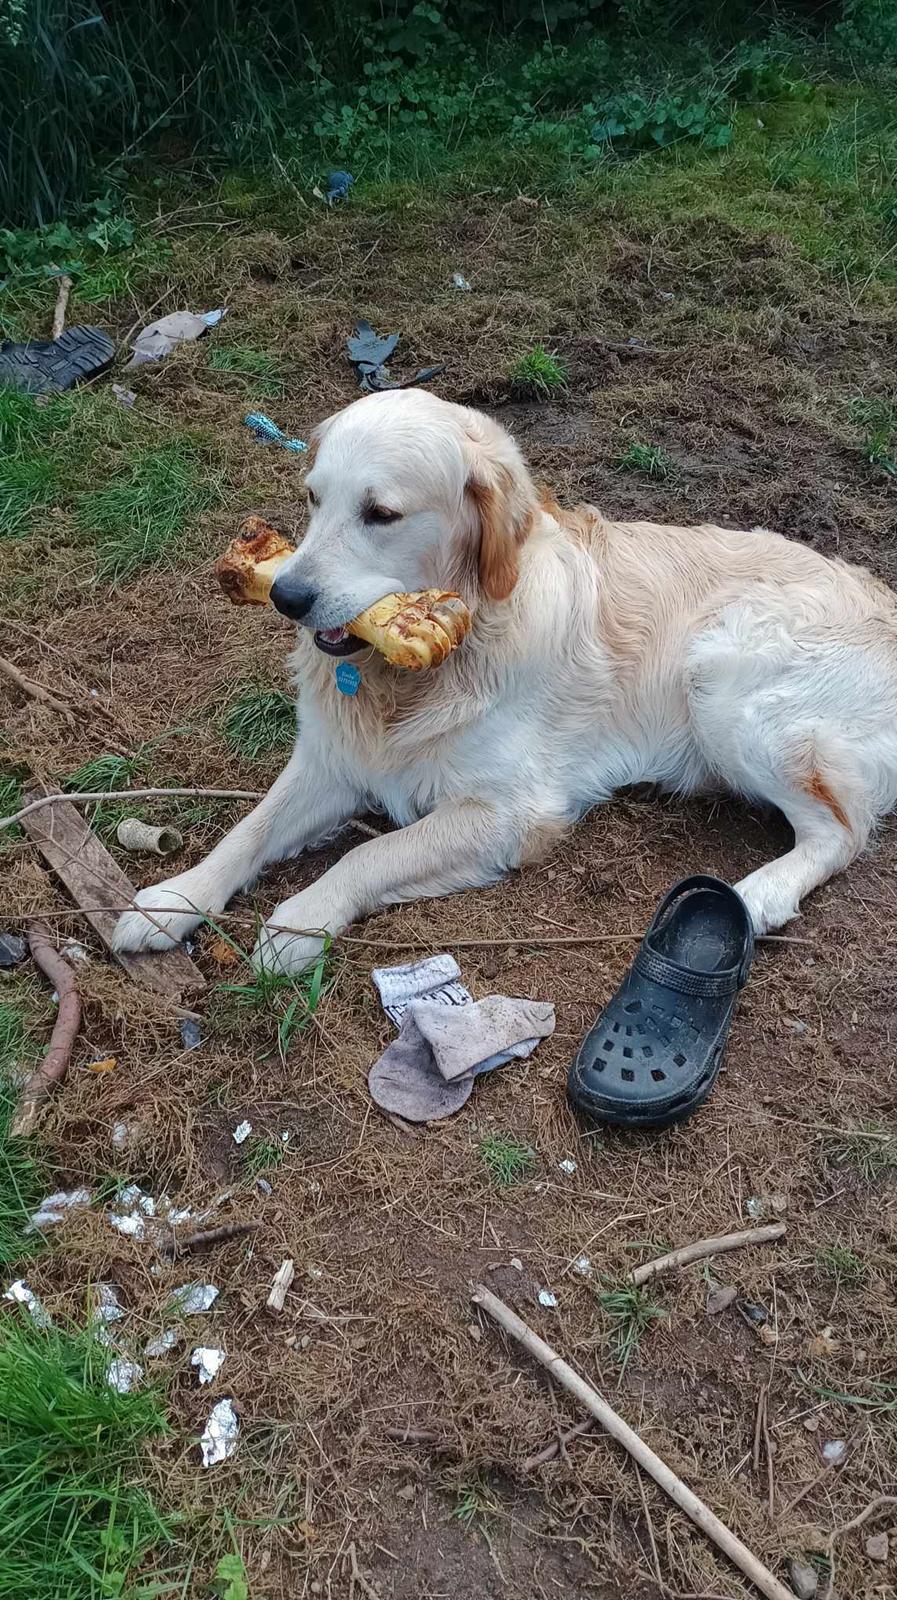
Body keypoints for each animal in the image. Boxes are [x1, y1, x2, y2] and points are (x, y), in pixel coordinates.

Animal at [111, 384, 895, 972]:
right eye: (312, 497)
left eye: (381, 513)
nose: (287, 597)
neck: (427, 662)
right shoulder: (332, 759)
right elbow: (248, 831)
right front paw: (172, 899)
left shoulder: (513, 812)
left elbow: (372, 850)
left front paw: (300, 919)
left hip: (727, 683)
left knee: (840, 833)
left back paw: (758, 895)